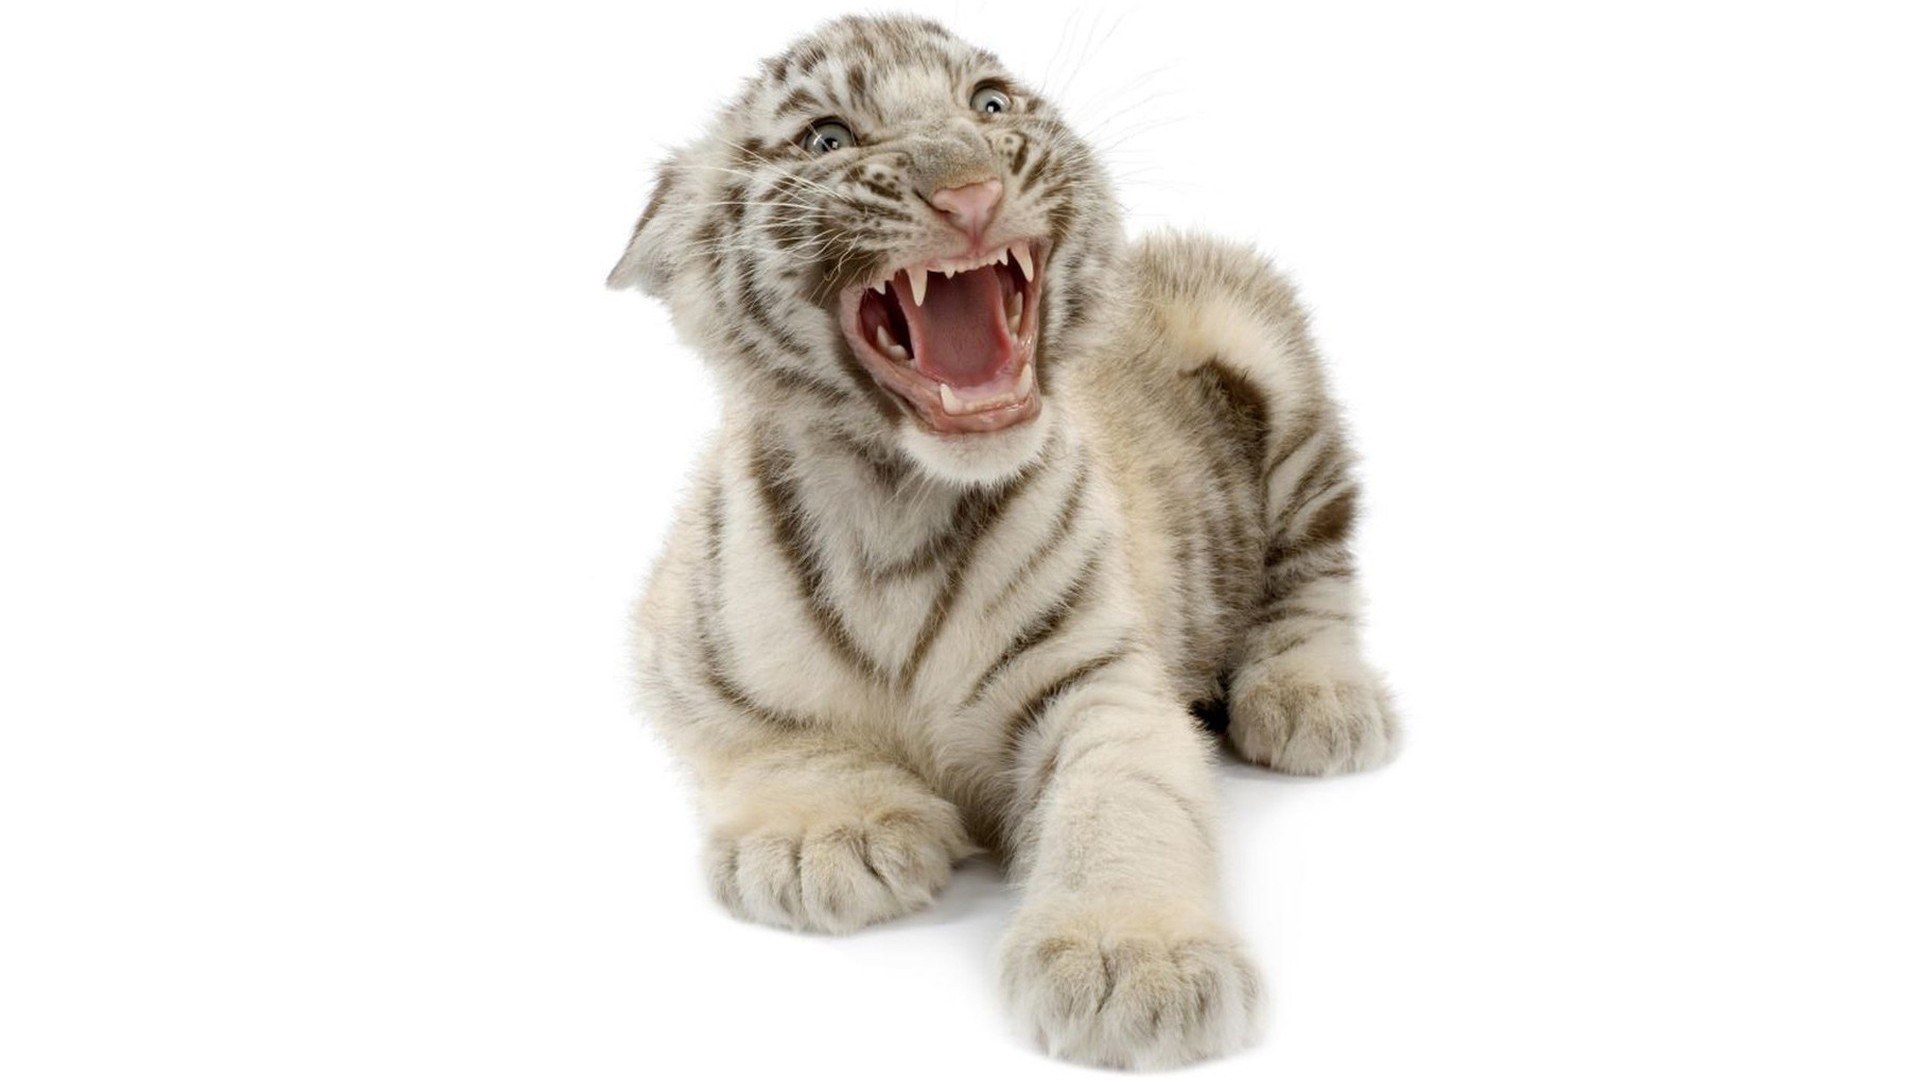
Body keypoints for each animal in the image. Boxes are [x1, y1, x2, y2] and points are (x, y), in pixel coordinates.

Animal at [607, 14, 1399, 1069]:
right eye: (826, 138)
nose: (971, 189)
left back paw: (1316, 700)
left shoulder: (1098, 679)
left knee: (1317, 569)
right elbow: (759, 734)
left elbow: (1126, 802)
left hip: (1263, 347)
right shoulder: (678, 646)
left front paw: (1132, 961)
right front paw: (830, 834)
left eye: (989, 104)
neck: (897, 501)